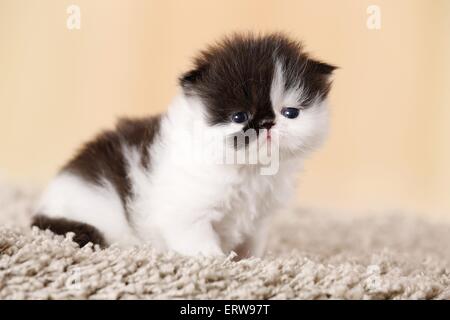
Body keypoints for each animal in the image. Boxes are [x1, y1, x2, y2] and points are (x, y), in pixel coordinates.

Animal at [30, 33, 334, 258]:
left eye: (290, 113)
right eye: (239, 117)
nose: (268, 124)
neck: (249, 170)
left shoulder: (258, 220)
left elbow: (252, 245)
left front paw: (252, 262)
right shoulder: (187, 213)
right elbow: (200, 243)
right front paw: (218, 262)